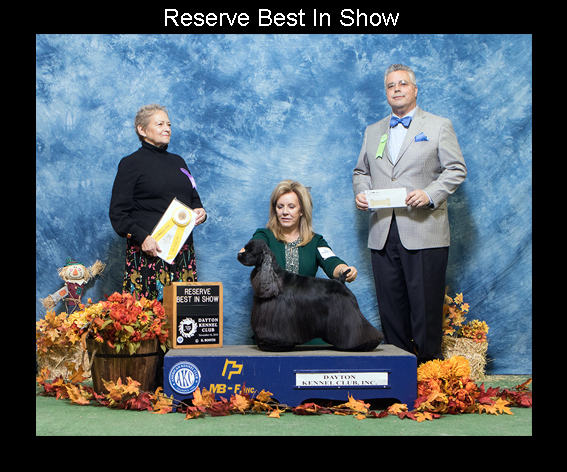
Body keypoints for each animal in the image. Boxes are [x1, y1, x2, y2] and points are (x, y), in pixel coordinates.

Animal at [237, 239, 384, 352]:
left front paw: (273, 345)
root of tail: (341, 280)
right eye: (244, 248)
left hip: (347, 313)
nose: (239, 255)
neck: (274, 276)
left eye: (250, 251)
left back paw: (366, 344)